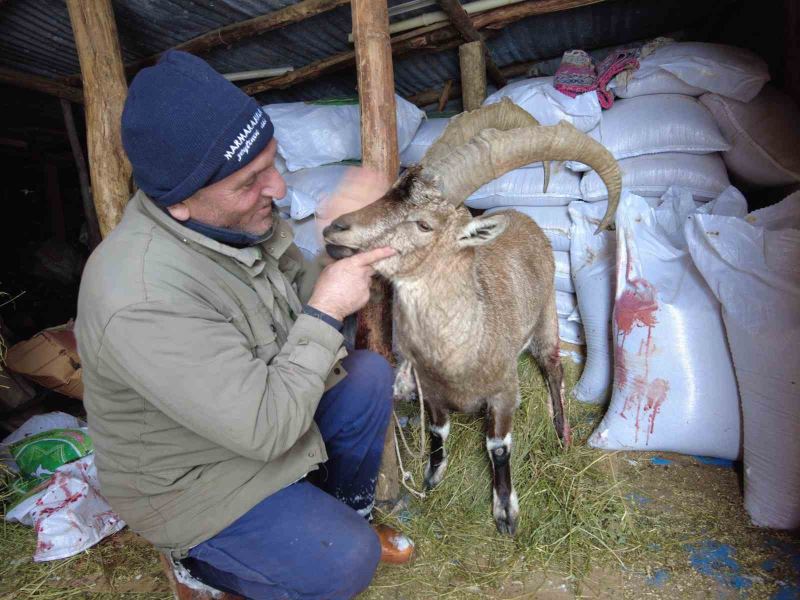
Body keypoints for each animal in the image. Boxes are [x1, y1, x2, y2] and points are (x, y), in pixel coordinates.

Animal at [322, 99, 620, 536]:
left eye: (424, 224)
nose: (335, 228)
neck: (459, 349)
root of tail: (519, 215)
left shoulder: (504, 391)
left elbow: (499, 448)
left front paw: (506, 514)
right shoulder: (432, 392)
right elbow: (437, 431)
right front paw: (433, 477)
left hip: (545, 315)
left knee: (553, 368)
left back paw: (561, 432)